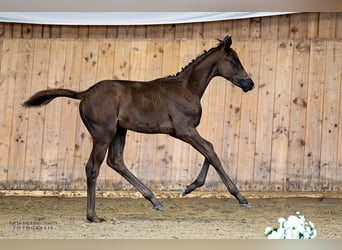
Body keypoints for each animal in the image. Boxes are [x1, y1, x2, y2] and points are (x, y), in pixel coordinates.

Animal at [24, 36, 254, 222]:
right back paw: (93, 216)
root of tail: (86, 92)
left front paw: (189, 187)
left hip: (119, 131)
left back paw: (154, 200)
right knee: (92, 167)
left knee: (116, 161)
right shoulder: (184, 130)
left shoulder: (180, 132)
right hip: (103, 133)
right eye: (233, 61)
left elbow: (209, 149)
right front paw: (240, 197)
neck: (186, 88)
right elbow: (211, 151)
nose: (249, 84)